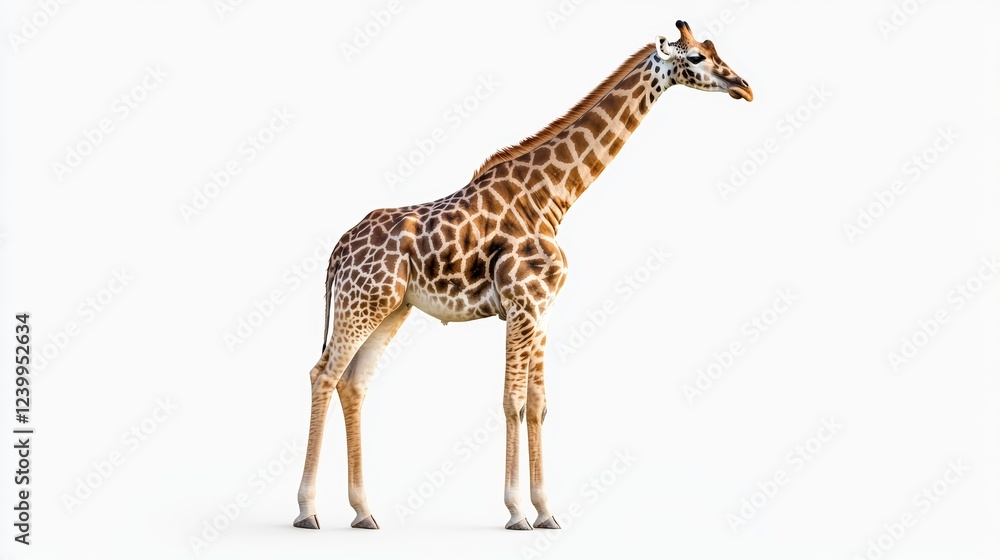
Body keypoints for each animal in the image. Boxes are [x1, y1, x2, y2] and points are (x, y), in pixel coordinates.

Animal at [293, 20, 752, 531]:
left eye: (714, 49)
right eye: (695, 58)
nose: (743, 86)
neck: (552, 198)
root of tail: (337, 251)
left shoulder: (544, 309)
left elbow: (538, 404)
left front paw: (547, 512)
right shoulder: (522, 303)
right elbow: (511, 400)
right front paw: (516, 512)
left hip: (392, 308)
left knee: (353, 384)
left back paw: (364, 512)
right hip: (362, 303)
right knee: (322, 374)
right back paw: (308, 512)